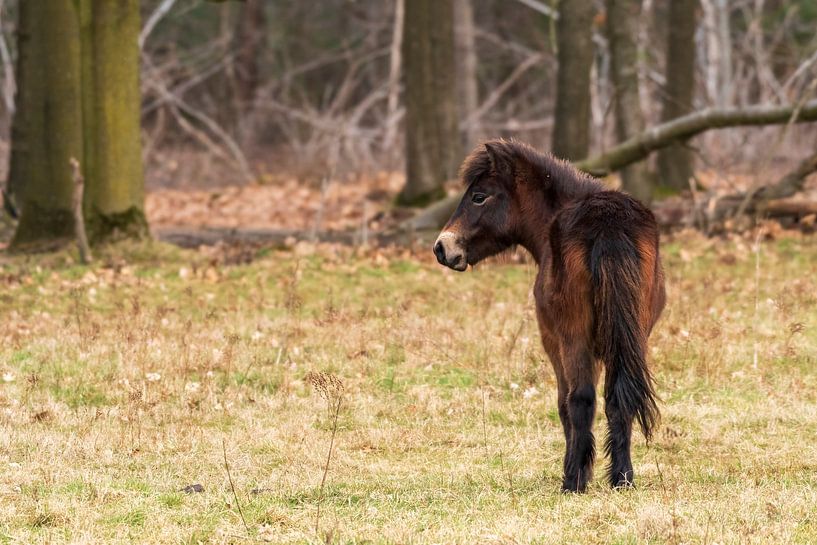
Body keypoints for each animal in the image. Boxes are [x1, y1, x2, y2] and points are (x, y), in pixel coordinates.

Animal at [433, 139, 665, 492]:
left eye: (479, 196)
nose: (442, 248)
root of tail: (607, 225)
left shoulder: (553, 341)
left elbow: (565, 405)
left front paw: (576, 472)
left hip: (573, 338)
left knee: (581, 400)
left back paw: (573, 482)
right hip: (629, 339)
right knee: (618, 398)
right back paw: (622, 478)